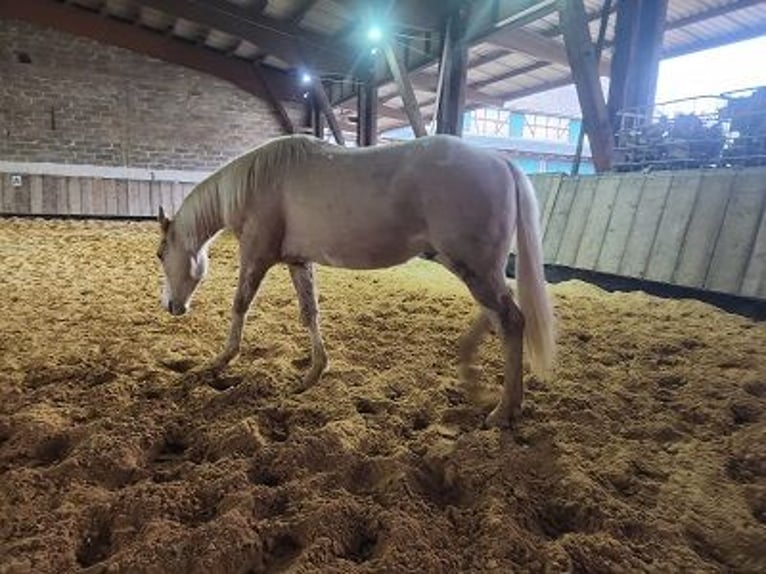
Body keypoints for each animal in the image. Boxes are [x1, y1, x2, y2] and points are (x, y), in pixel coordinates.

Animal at [158, 135, 560, 428]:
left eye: (161, 254)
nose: (171, 306)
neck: (257, 182)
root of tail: (501, 162)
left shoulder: (257, 256)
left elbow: (240, 303)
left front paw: (222, 359)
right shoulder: (298, 262)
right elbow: (309, 313)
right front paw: (313, 373)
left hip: (472, 267)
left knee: (511, 320)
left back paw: (503, 411)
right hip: (474, 268)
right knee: (499, 317)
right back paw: (479, 376)